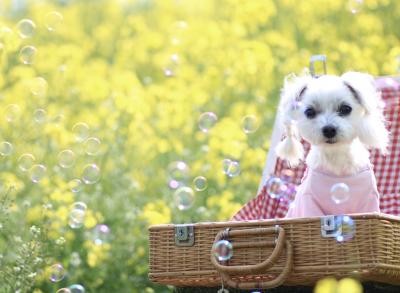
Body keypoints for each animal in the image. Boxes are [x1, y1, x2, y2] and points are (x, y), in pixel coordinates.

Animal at [276, 70, 390, 217]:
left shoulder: (369, 202)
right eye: (310, 112)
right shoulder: (309, 203)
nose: (329, 129)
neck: (337, 159)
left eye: (346, 109)